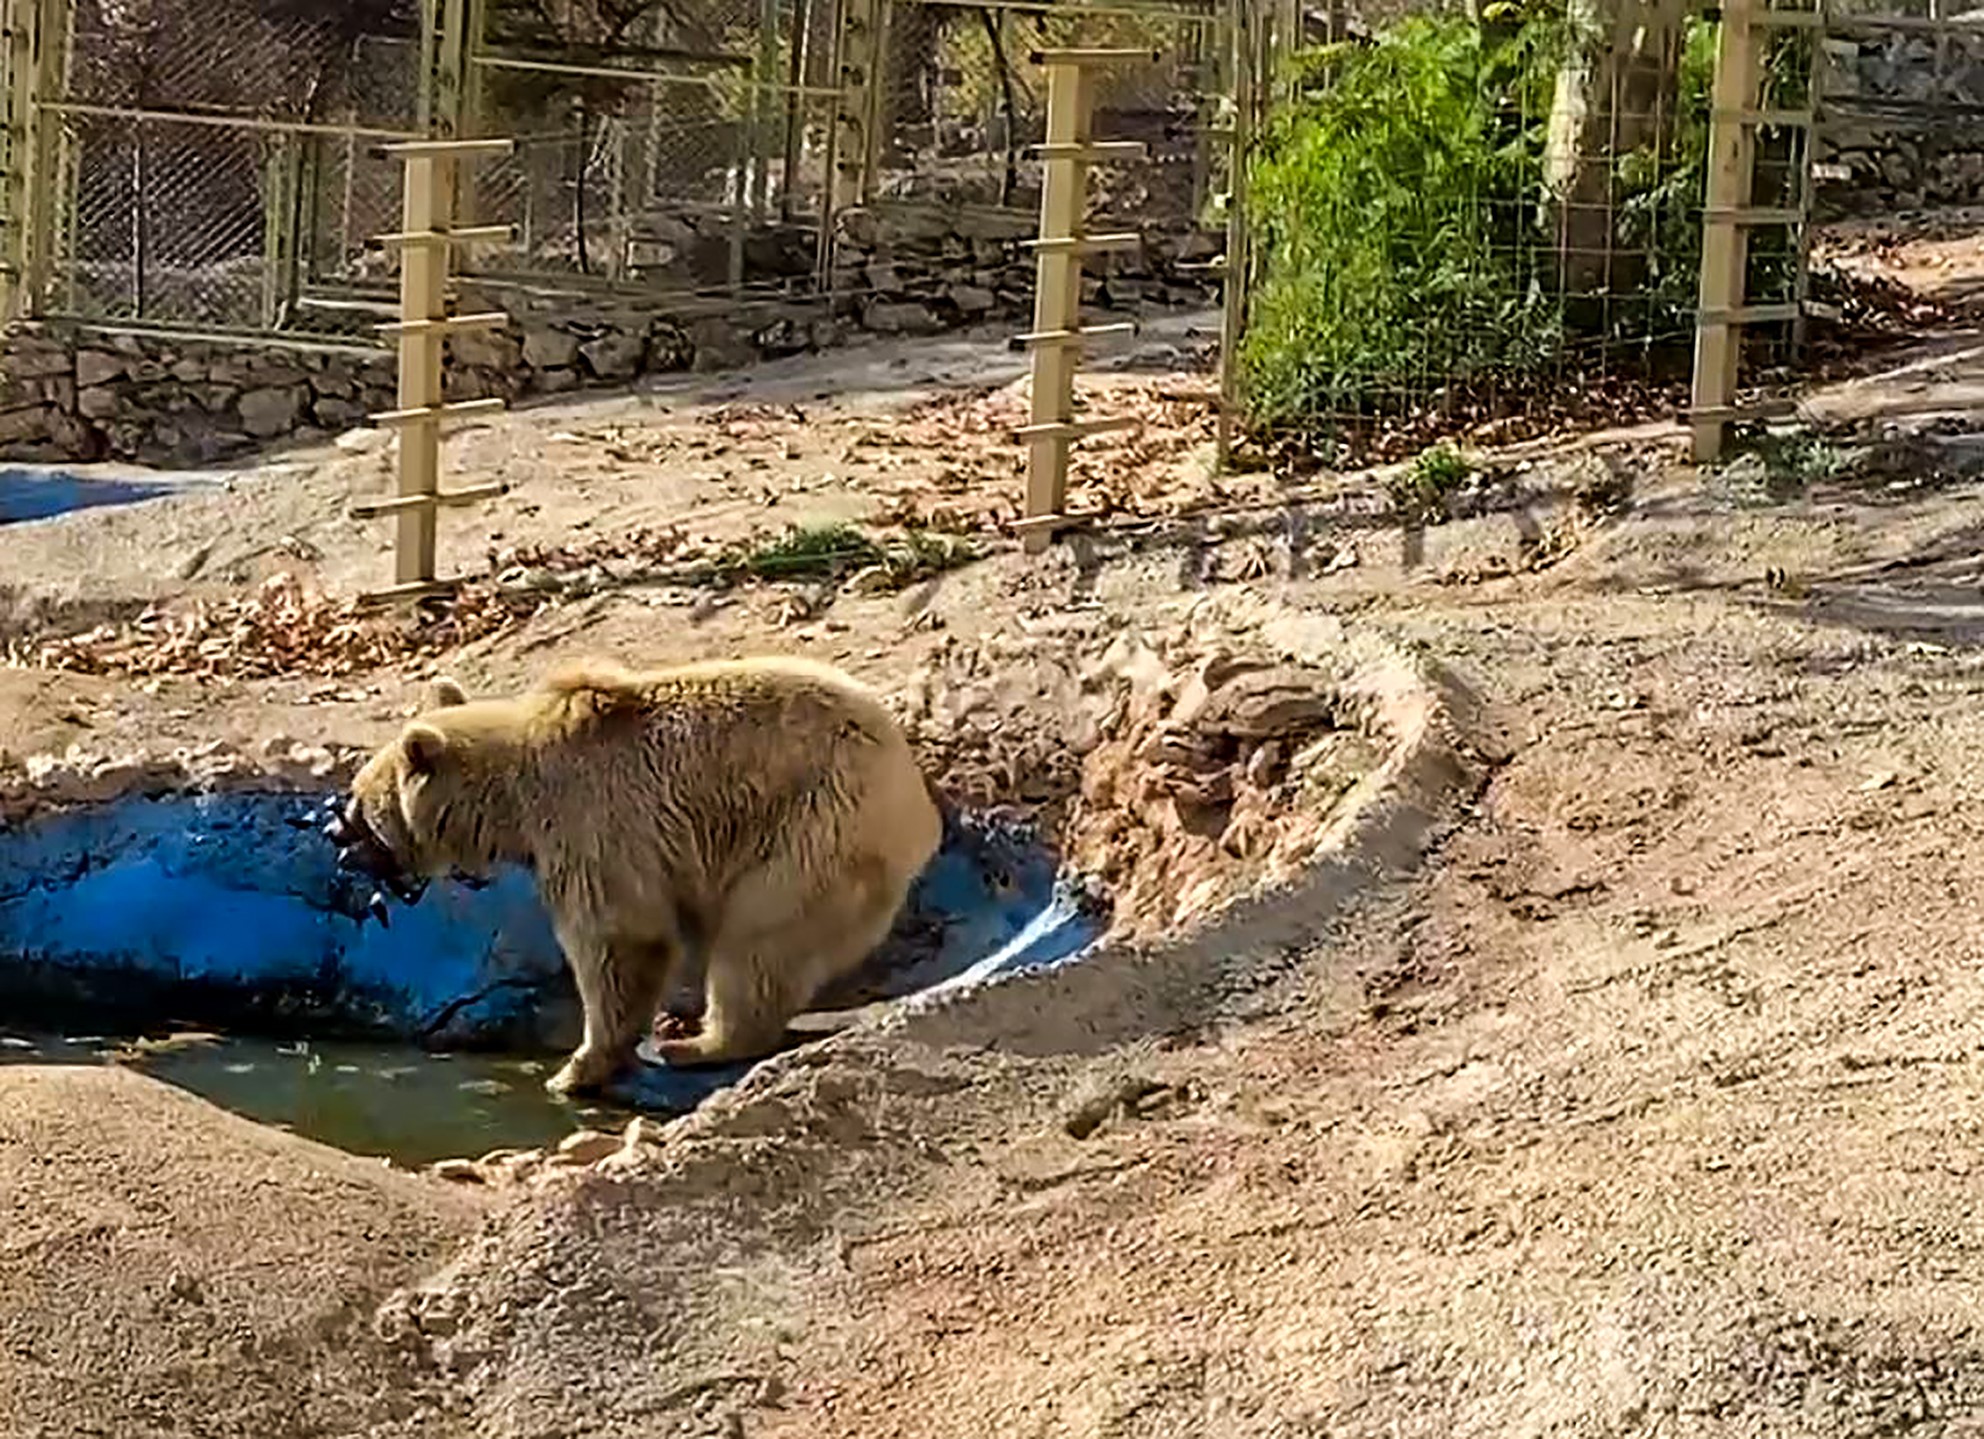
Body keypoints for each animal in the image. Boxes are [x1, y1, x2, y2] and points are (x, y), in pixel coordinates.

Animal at [335, 654, 944, 1095]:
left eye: (360, 806)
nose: (338, 845)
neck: (515, 800)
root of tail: (918, 804)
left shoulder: (592, 824)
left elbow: (619, 939)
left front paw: (577, 1067)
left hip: (811, 828)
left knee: (757, 940)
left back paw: (700, 1043)